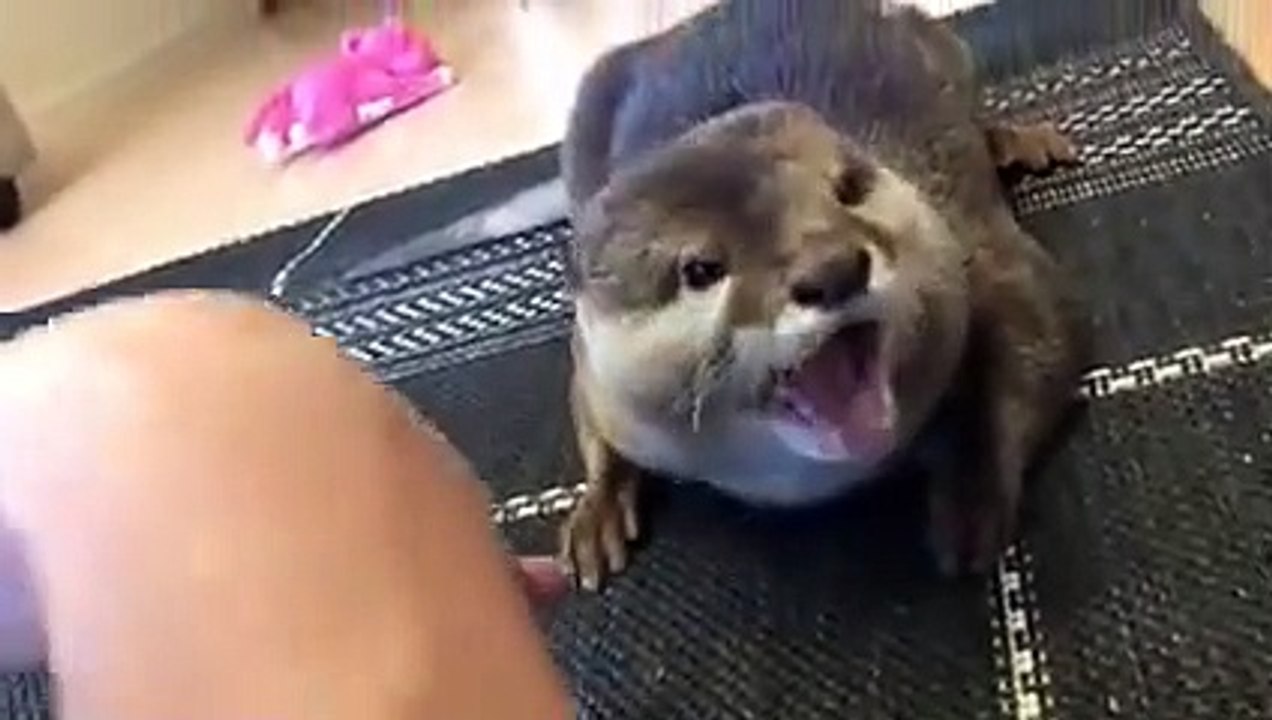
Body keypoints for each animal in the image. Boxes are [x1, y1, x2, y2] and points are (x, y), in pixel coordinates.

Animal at [559, 0, 1087, 589]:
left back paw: (1020, 143)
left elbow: (1042, 337)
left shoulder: (978, 256)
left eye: (848, 189)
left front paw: (972, 501)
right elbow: (583, 400)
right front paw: (596, 511)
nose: (835, 267)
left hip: (939, 43)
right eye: (699, 268)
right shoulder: (609, 389)